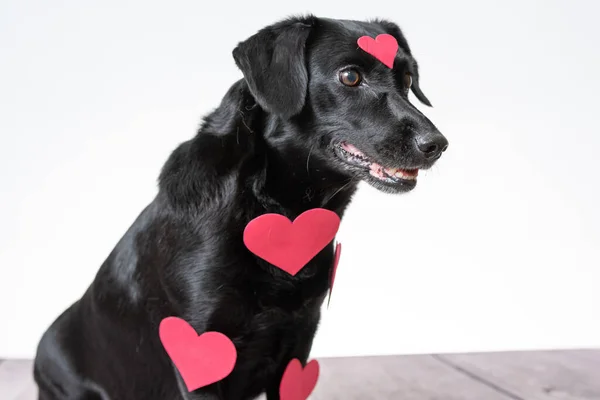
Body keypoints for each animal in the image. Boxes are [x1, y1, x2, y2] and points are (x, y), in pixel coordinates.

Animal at [32, 14, 446, 398]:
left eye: (408, 80)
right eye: (350, 77)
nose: (437, 144)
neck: (275, 207)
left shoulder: (298, 345)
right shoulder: (200, 354)